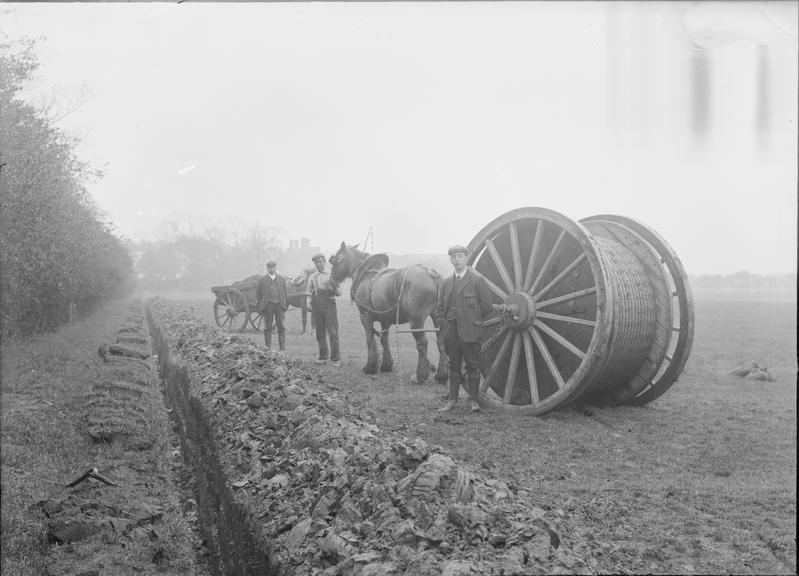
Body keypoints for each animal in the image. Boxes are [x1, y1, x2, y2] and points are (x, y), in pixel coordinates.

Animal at [330, 241, 450, 384]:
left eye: (336, 259)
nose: (331, 280)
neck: (365, 275)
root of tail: (431, 274)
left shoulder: (365, 315)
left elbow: (369, 338)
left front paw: (370, 366)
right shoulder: (385, 319)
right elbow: (384, 340)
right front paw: (386, 365)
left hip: (416, 320)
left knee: (422, 343)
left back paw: (419, 376)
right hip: (438, 317)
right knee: (441, 340)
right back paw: (441, 375)